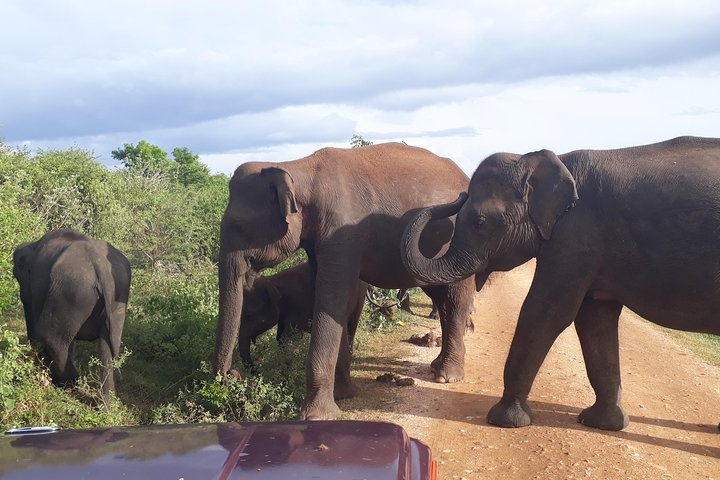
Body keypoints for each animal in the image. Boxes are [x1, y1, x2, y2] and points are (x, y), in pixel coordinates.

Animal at [12, 229, 131, 398]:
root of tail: (101, 267)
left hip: (71, 290)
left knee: (50, 337)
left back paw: (68, 384)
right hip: (117, 295)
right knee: (107, 344)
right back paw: (105, 402)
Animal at [239, 262, 368, 402]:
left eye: (248, 315)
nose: (258, 370)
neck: (273, 281)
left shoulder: (298, 306)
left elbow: (287, 338)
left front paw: (285, 376)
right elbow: (280, 337)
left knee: (351, 327)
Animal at [402, 135, 720, 432]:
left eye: (480, 222)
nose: (458, 195)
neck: (544, 160)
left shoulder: (576, 233)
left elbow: (547, 312)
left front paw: (505, 420)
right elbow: (594, 319)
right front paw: (602, 423)